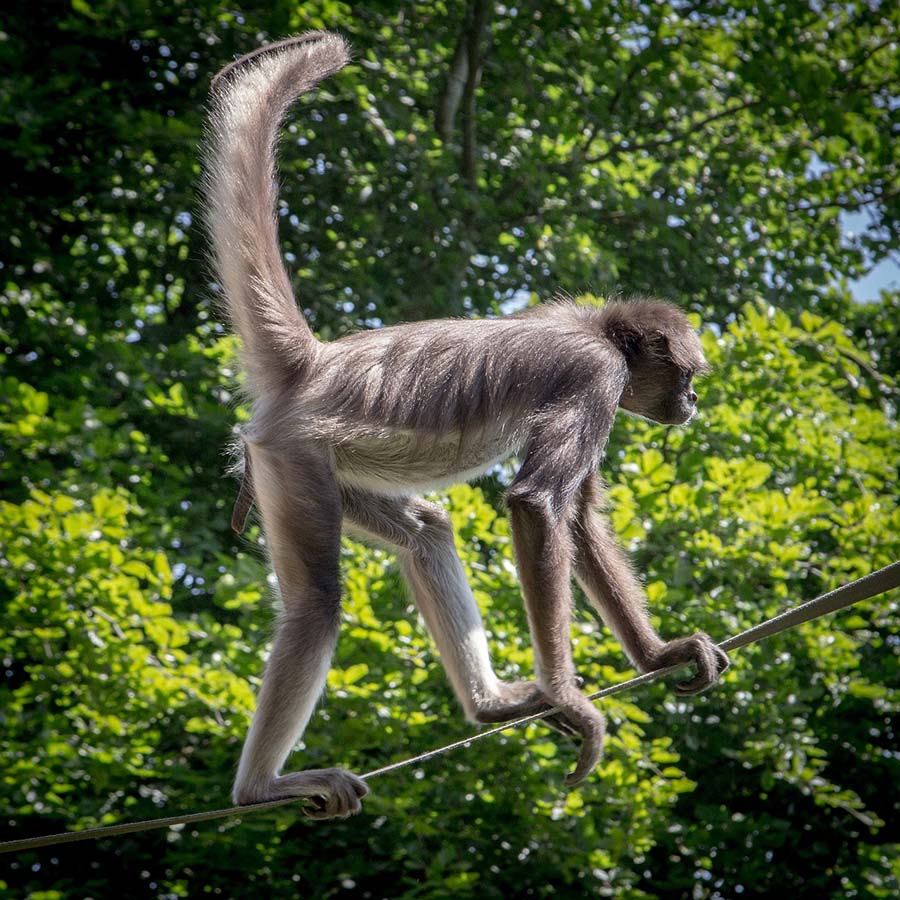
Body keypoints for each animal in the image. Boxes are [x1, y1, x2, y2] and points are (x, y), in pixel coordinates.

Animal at [203, 32, 729, 820]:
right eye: (690, 378)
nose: (691, 404)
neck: (596, 329)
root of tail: (315, 365)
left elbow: (578, 519)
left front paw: (659, 656)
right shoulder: (595, 376)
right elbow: (537, 505)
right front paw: (569, 696)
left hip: (319, 469)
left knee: (426, 531)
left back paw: (490, 705)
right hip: (293, 457)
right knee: (319, 601)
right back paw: (259, 787)